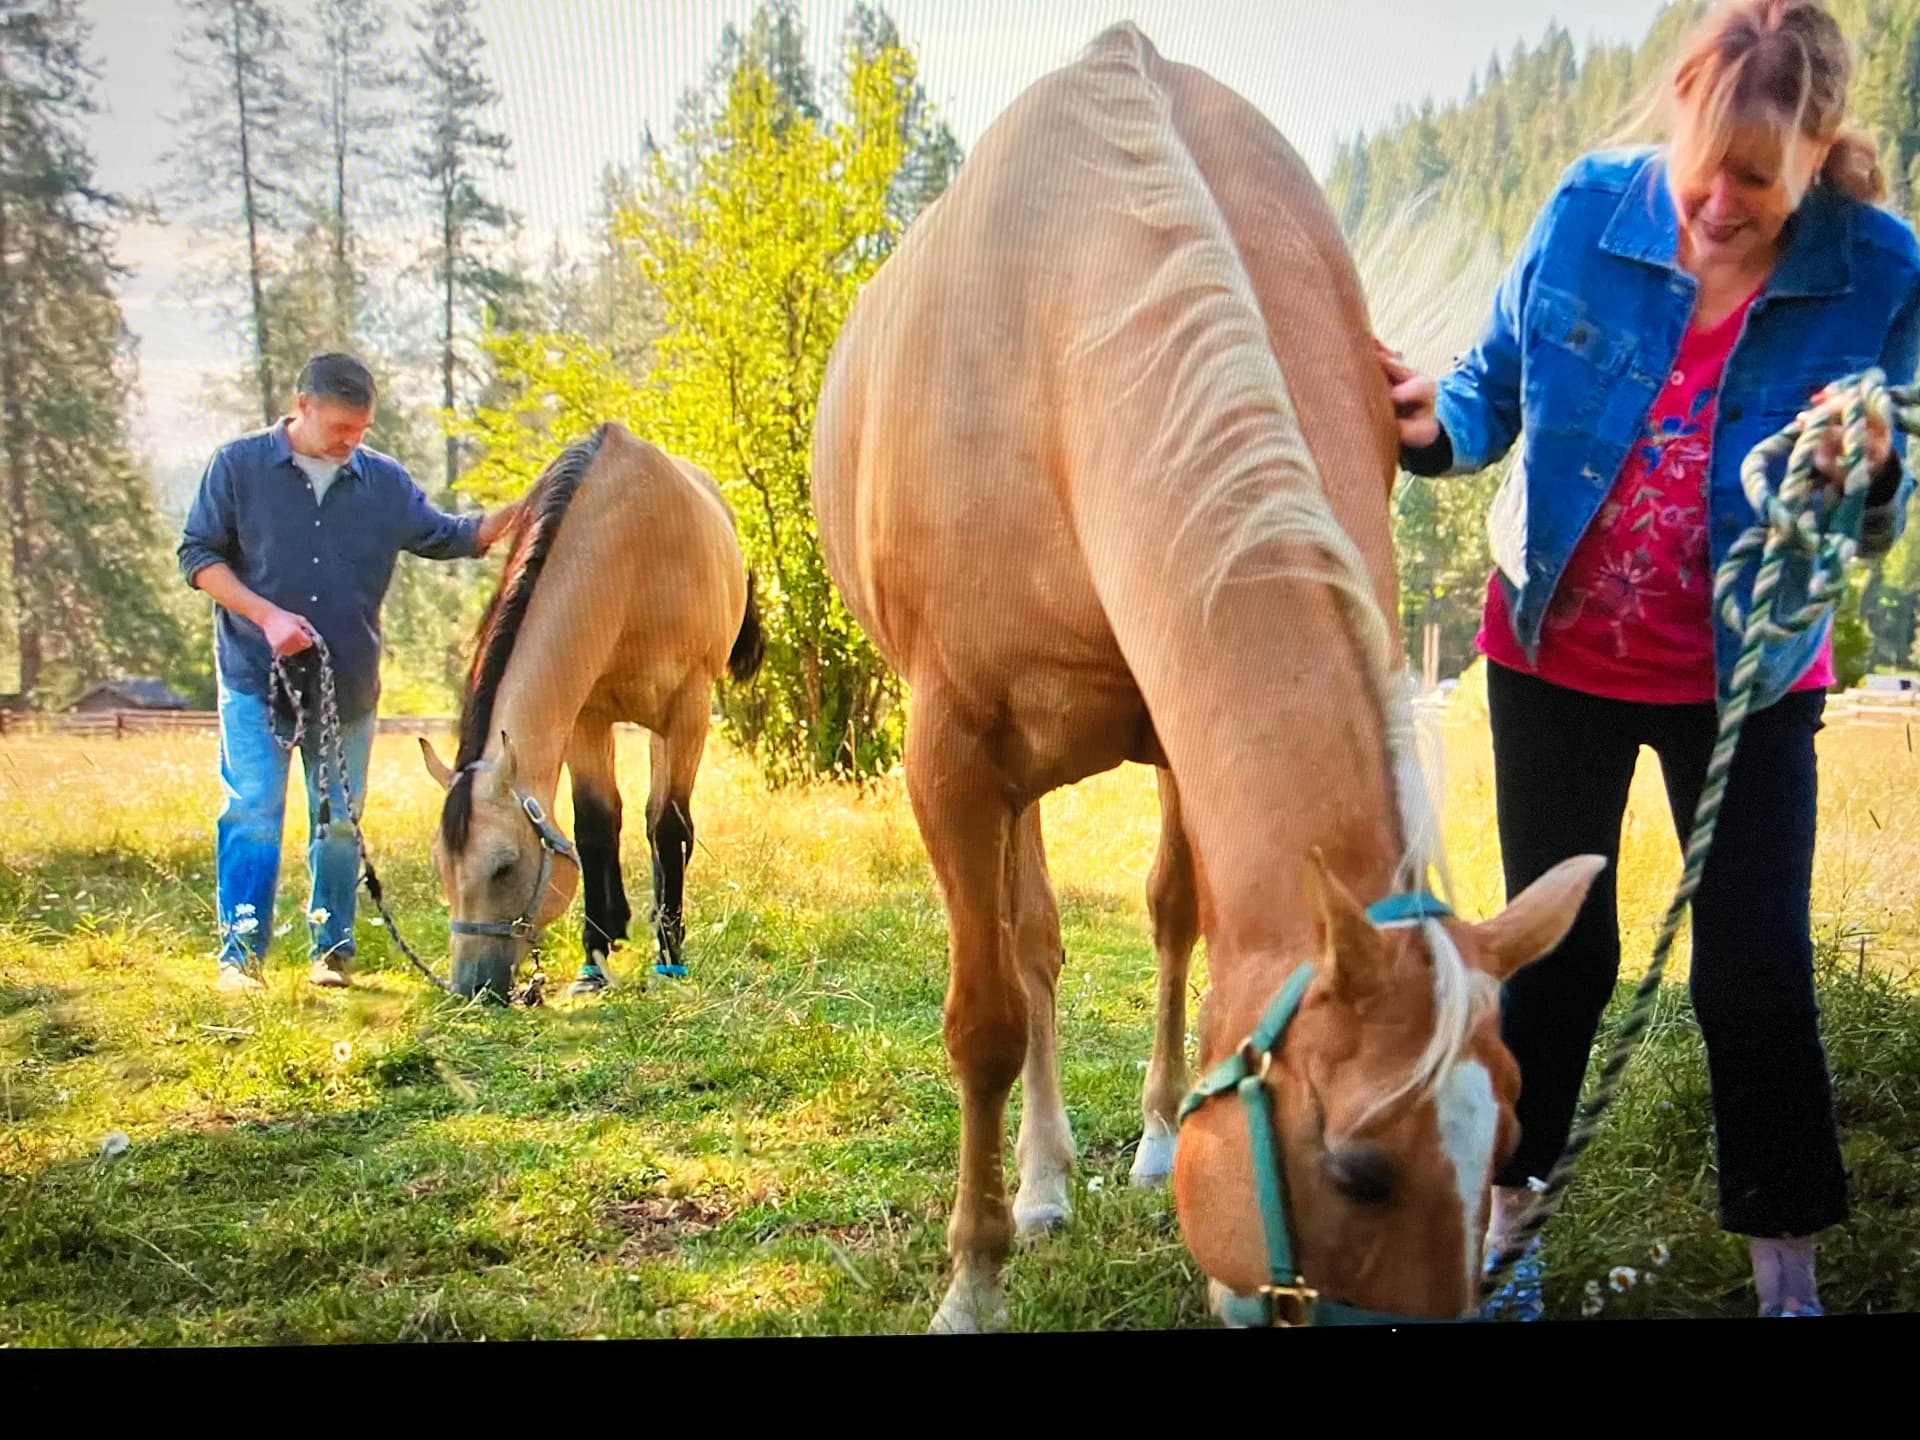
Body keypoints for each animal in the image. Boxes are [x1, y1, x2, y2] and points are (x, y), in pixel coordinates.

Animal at [418, 422, 764, 1001]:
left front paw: (670, 957)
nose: (472, 988)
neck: (633, 553)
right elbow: (596, 827)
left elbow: (669, 826)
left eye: (504, 867)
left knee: (663, 820)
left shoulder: (688, 707)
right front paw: (595, 959)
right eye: (442, 867)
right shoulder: (587, 714)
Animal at [811, 22, 1604, 1332]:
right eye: (1360, 1171)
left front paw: (1160, 1147)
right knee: (1030, 952)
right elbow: (984, 1021)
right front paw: (973, 1280)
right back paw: (1040, 1184)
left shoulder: (1181, 735)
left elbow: (1181, 919)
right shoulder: (953, 759)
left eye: (1504, 1144)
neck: (1058, 337)